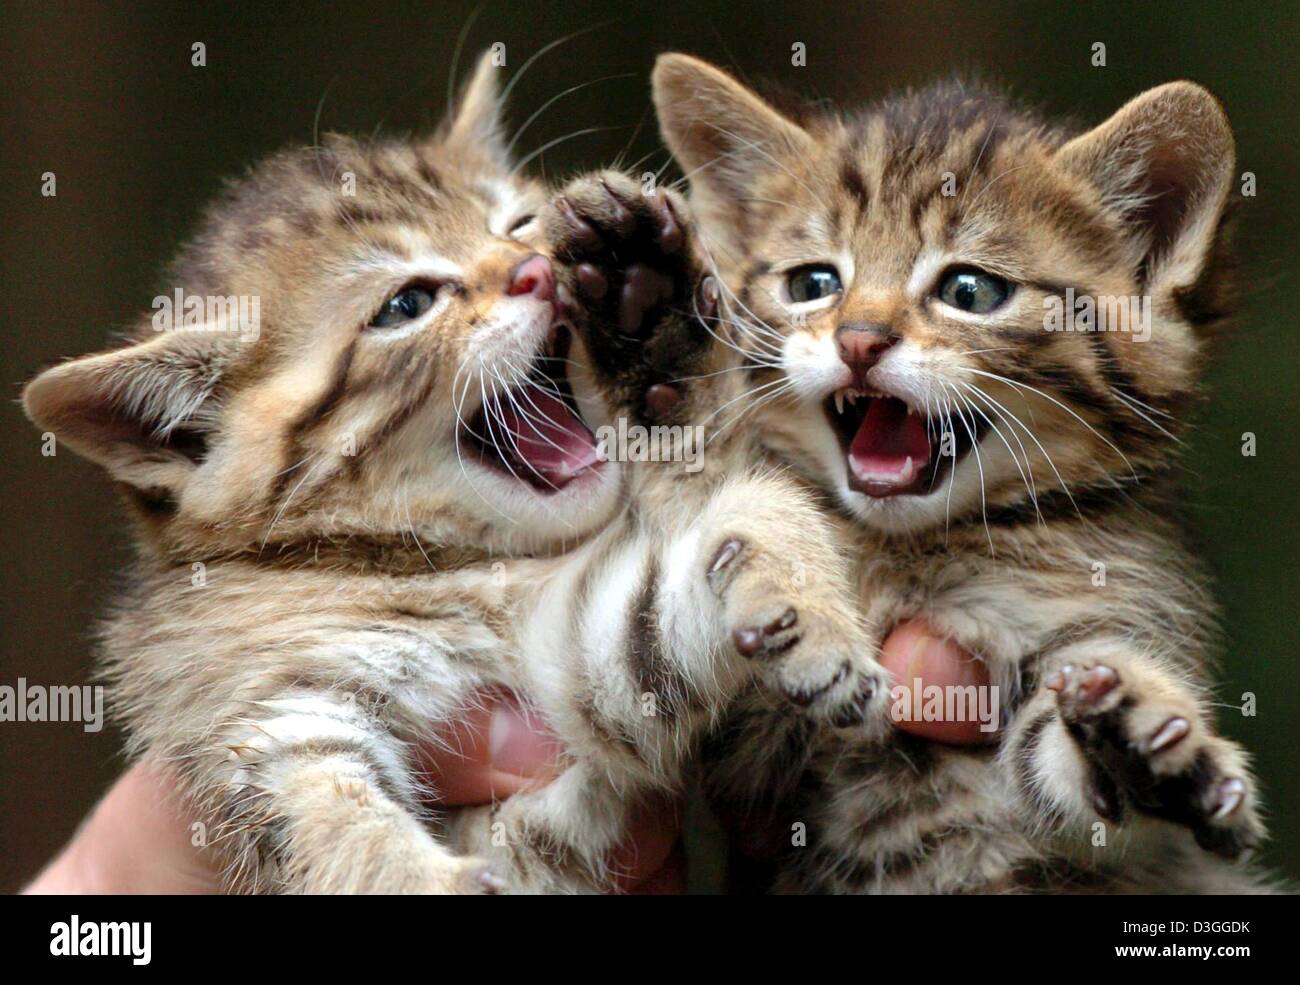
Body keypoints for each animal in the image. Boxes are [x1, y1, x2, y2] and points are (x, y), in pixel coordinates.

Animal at [25, 57, 883, 899]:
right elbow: (328, 816)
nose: (536, 269)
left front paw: (805, 613)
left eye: (517, 225)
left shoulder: (577, 665)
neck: (446, 563)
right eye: (407, 303)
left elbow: (685, 582)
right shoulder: (266, 715)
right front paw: (411, 875)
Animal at [644, 55, 1274, 894]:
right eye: (813, 283)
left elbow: (1054, 774)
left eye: (970, 291)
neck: (911, 547)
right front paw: (796, 605)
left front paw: (1140, 742)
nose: (859, 340)